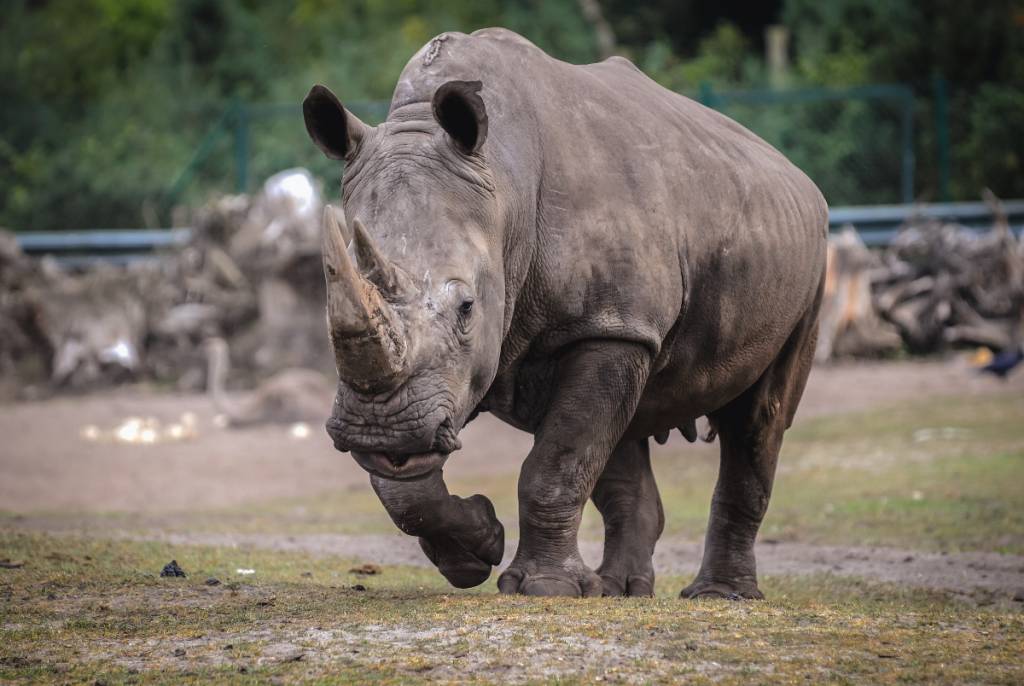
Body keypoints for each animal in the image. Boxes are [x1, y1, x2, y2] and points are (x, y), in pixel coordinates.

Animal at [303, 28, 827, 598]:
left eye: (467, 307)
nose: (378, 428)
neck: (502, 181)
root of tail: (797, 174)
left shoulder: (610, 325)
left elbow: (558, 461)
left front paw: (543, 588)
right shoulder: (444, 380)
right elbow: (401, 483)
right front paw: (477, 547)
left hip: (807, 260)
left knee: (758, 419)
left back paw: (718, 596)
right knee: (625, 429)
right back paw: (619, 590)